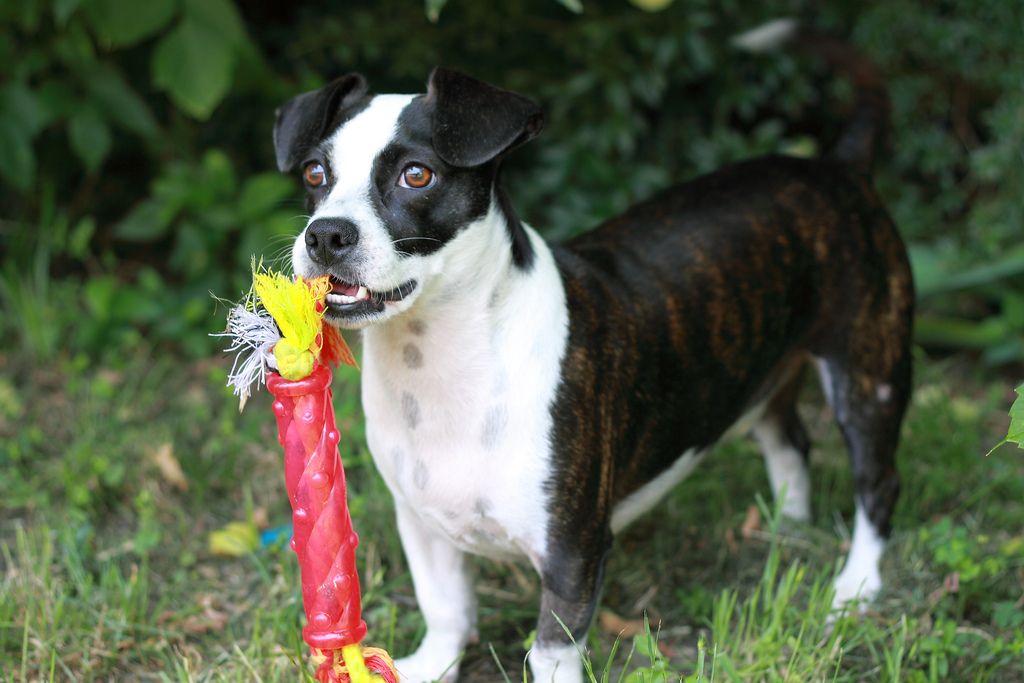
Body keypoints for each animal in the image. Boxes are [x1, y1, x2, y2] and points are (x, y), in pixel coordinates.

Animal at [272, 20, 913, 683]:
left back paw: (855, 586)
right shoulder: (422, 523)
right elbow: (446, 608)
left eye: (417, 175)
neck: (437, 355)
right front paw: (429, 666)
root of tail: (839, 169)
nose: (325, 234)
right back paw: (788, 529)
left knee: (878, 483)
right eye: (314, 173)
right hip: (765, 370)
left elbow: (551, 650)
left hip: (869, 374)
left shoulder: (572, 551)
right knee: (790, 442)